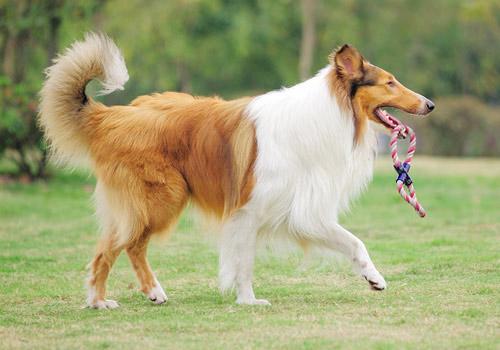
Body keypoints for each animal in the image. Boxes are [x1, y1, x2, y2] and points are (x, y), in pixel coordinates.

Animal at [39, 32, 434, 306]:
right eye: (389, 82)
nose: (430, 104)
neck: (328, 114)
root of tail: (113, 116)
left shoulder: (302, 211)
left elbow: (354, 242)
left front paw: (374, 278)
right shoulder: (248, 211)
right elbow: (243, 263)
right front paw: (248, 300)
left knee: (124, 245)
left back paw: (140, 294)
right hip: (161, 198)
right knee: (115, 248)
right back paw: (108, 299)